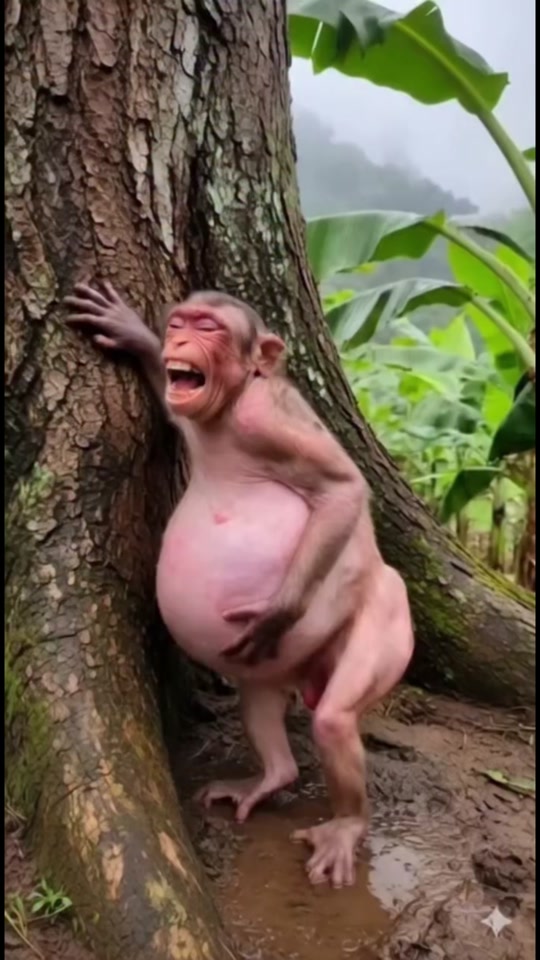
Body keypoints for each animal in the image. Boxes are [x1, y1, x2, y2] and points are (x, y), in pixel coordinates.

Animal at [64, 281, 414, 889]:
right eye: (179, 322)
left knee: (335, 718)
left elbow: (343, 489)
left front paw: (276, 614)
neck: (222, 415)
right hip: (276, 673)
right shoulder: (189, 412)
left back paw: (347, 823)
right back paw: (272, 776)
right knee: (260, 700)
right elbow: (167, 397)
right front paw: (135, 334)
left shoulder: (264, 422)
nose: (180, 338)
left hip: (388, 627)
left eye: (209, 328)